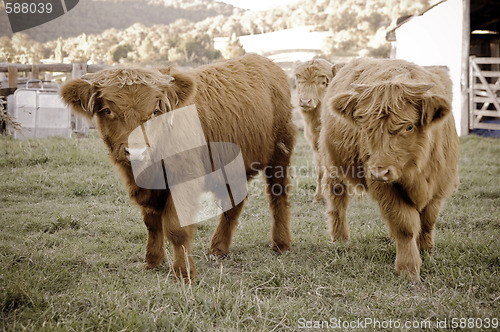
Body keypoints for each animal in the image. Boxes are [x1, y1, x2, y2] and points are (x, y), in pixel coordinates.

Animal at [62, 53, 296, 280]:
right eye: (108, 110)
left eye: (155, 111)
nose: (136, 152)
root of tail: (266, 62)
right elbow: (152, 222)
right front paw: (152, 261)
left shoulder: (185, 180)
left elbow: (176, 228)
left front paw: (183, 272)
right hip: (231, 165)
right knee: (234, 200)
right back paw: (219, 247)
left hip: (280, 153)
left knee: (278, 196)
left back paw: (280, 243)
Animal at [292, 60, 344, 204]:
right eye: (299, 80)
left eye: (323, 82)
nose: (305, 101)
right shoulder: (316, 146)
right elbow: (320, 171)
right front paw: (318, 197)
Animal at [318, 57, 458, 280]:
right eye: (366, 127)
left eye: (409, 127)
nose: (379, 172)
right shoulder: (386, 189)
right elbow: (405, 225)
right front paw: (408, 268)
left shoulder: (439, 186)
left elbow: (428, 221)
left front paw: (427, 252)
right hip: (332, 165)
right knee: (337, 200)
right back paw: (340, 238)